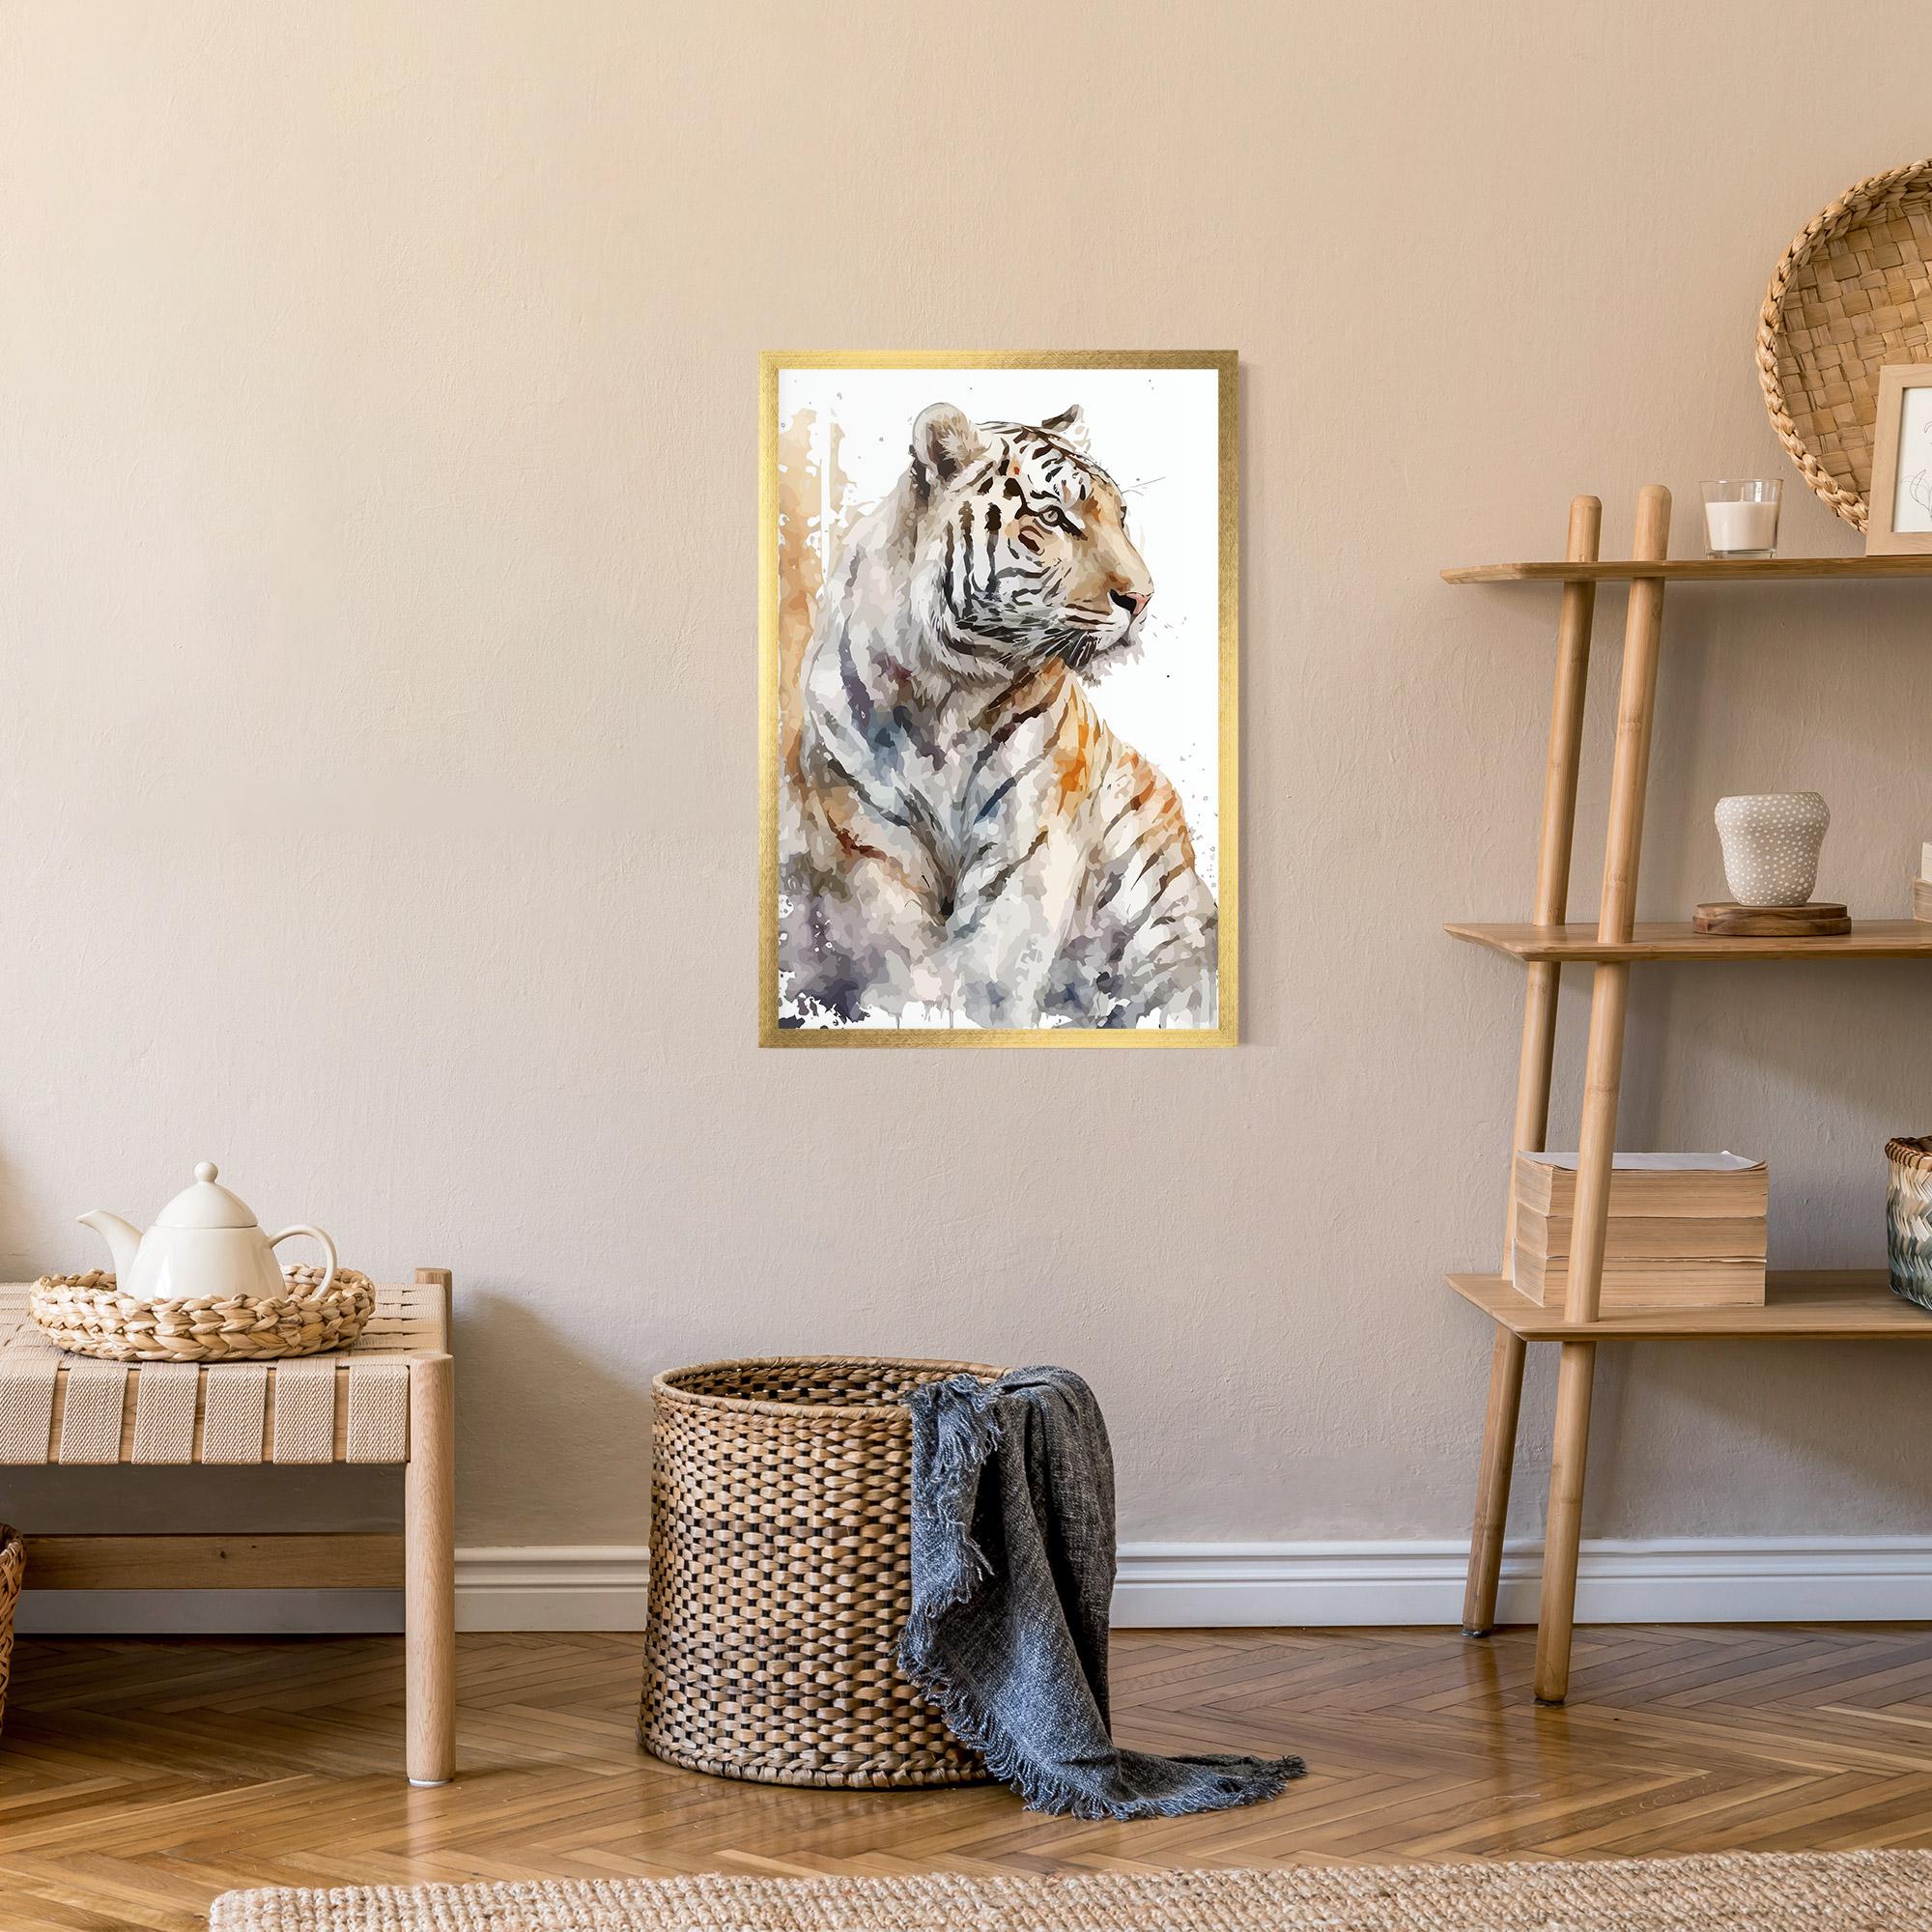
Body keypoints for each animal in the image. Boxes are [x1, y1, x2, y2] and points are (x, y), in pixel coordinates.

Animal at [780, 400, 1217, 1030]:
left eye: (1121, 515)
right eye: (1056, 518)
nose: (1143, 598)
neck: (943, 693)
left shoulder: (1028, 841)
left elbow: (991, 976)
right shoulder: (868, 842)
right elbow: (895, 963)